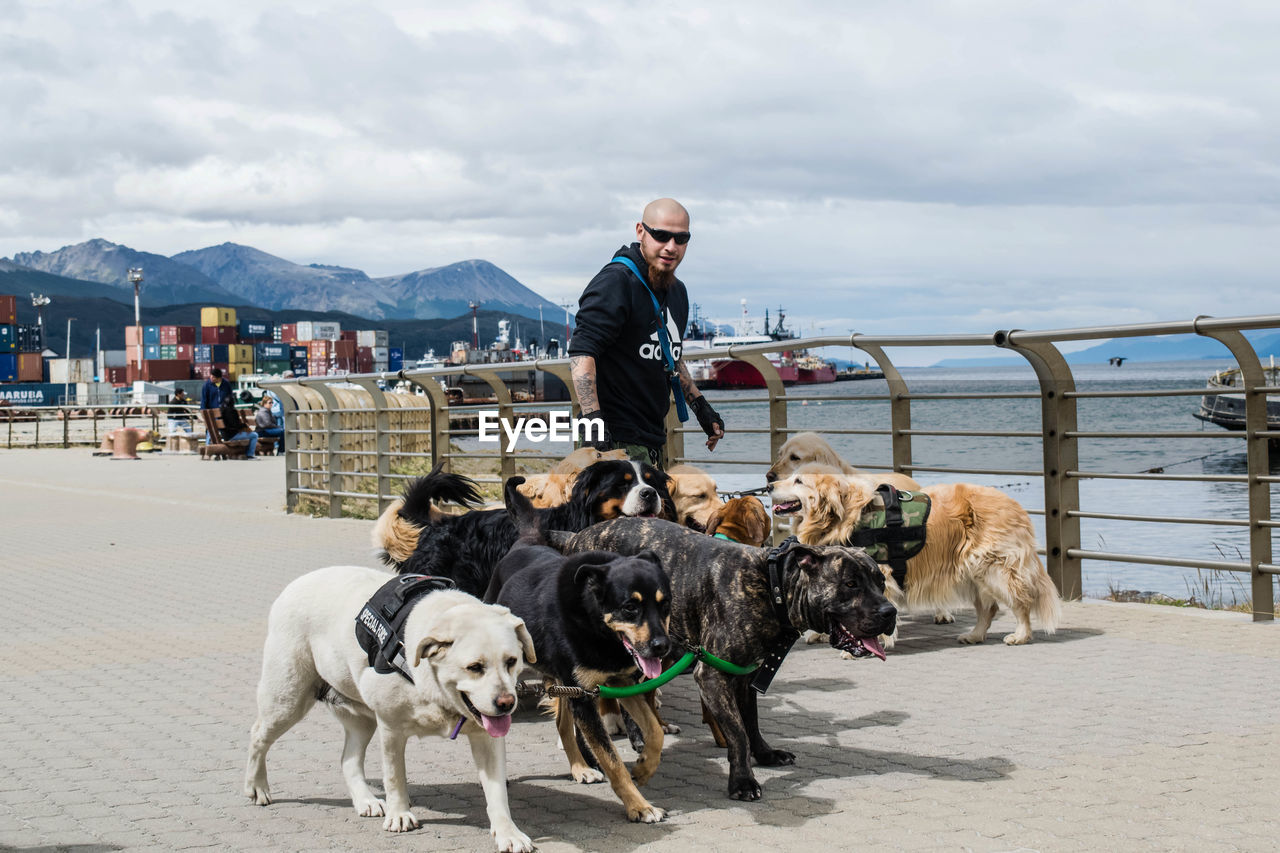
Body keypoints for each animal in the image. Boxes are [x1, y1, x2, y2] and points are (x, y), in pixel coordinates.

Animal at [481, 479, 670, 819]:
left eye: (665, 606)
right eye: (630, 607)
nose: (662, 647)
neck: (596, 627)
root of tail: (525, 542)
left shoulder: (619, 682)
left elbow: (655, 732)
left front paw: (644, 768)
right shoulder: (584, 697)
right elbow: (612, 760)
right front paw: (638, 805)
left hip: (561, 682)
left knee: (561, 724)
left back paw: (580, 767)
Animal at [552, 514, 901, 799]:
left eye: (881, 582)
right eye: (851, 584)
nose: (890, 612)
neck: (772, 585)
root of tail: (575, 537)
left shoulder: (744, 674)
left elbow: (752, 722)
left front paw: (765, 754)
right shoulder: (713, 676)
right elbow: (738, 733)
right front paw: (743, 781)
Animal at [768, 466, 1059, 645]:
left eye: (798, 481)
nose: (769, 485)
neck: (843, 516)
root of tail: (1013, 504)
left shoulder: (878, 574)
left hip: (997, 569)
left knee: (1020, 602)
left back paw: (1020, 634)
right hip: (972, 573)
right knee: (989, 608)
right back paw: (975, 635)